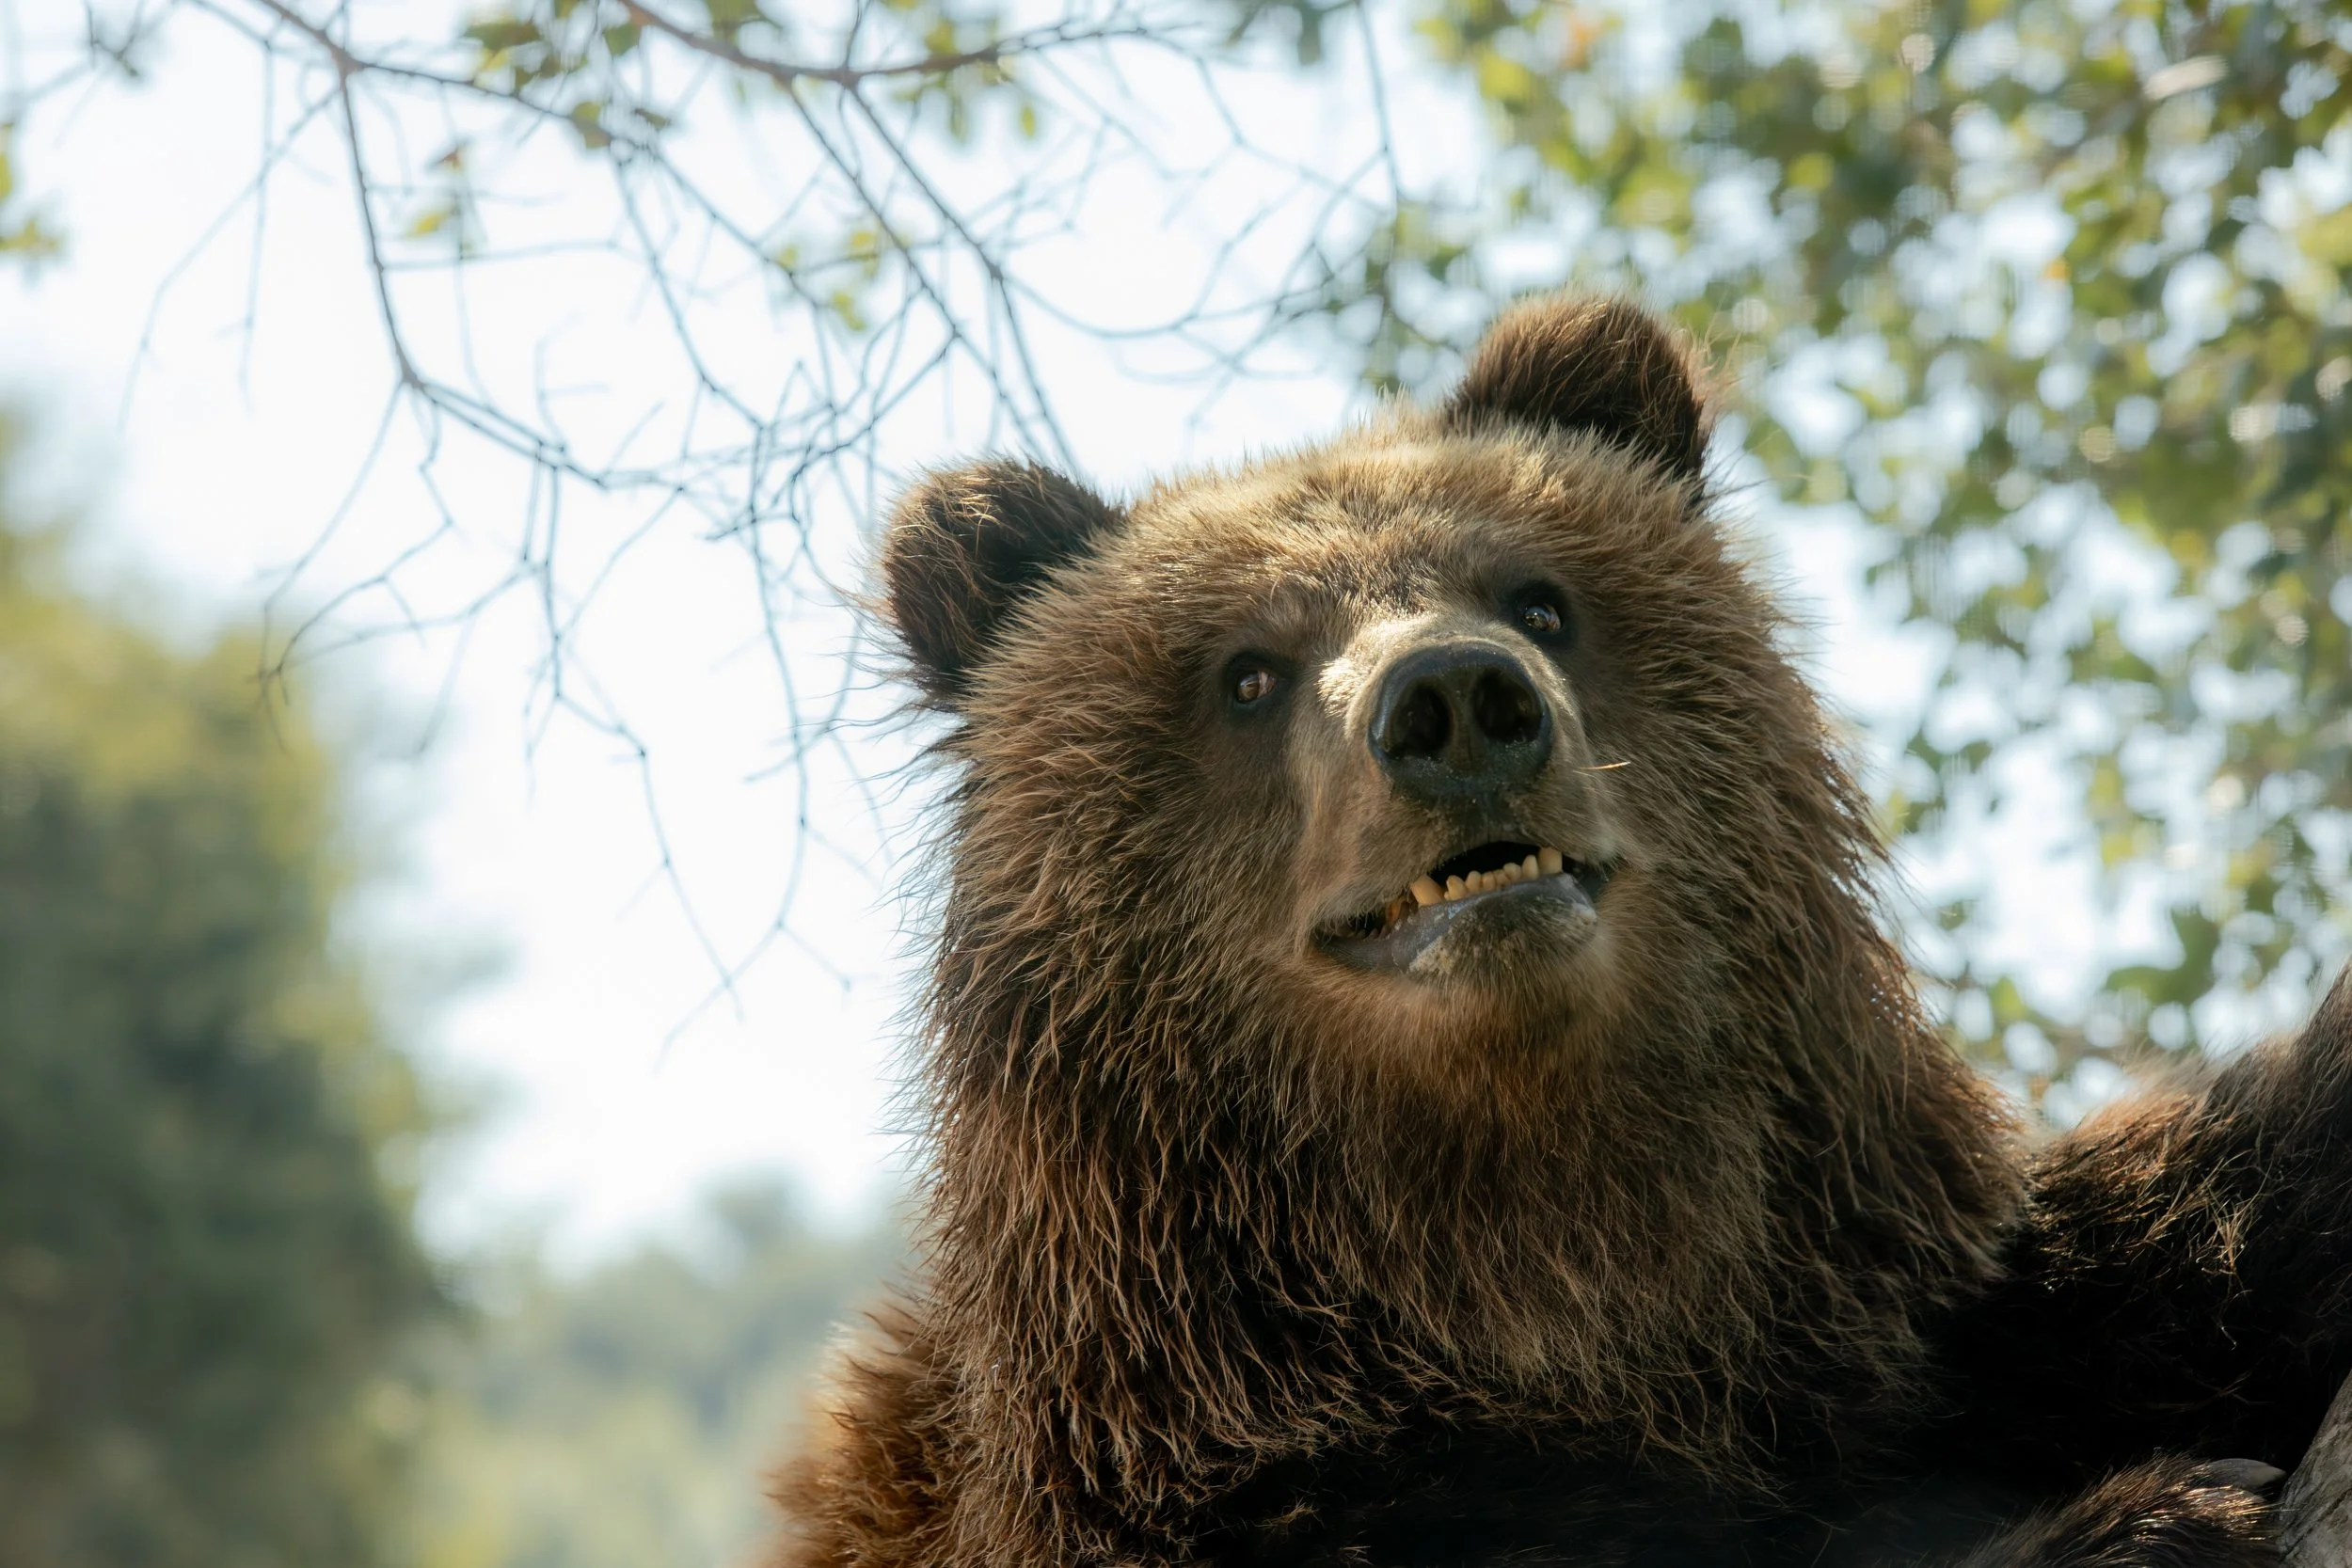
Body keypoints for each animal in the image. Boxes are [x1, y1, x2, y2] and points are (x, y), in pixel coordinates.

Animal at [770, 296, 2352, 1566]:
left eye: (1537, 595)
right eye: (1248, 671)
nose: (1457, 698)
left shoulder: (1910, 1317)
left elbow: (2193, 1233)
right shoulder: (1203, 1483)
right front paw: (2154, 1516)